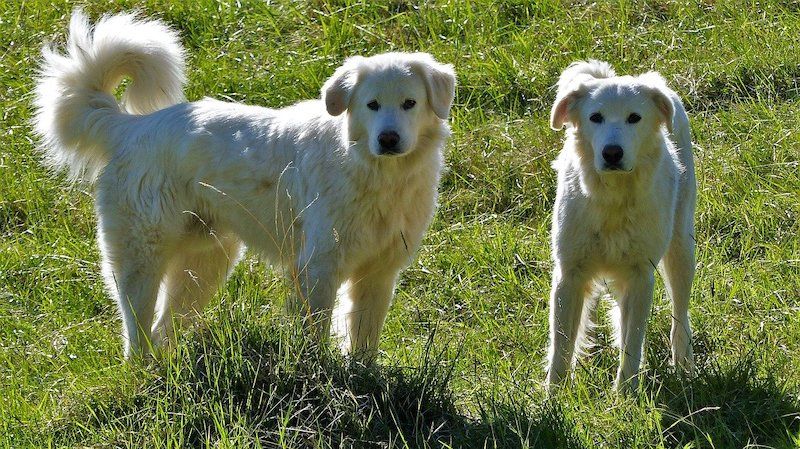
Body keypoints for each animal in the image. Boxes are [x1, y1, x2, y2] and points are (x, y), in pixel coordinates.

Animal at [32, 11, 456, 360]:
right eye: (372, 105)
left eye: (409, 103)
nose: (388, 139)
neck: (377, 175)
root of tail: (130, 126)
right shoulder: (318, 266)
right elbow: (315, 334)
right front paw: (319, 376)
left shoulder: (379, 271)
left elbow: (363, 338)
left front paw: (362, 378)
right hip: (142, 256)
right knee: (137, 332)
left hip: (204, 263)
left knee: (163, 330)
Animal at [548, 60, 696, 392]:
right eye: (595, 118)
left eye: (634, 118)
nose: (612, 153)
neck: (613, 199)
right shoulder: (569, 274)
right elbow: (561, 345)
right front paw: (554, 397)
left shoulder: (641, 276)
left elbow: (633, 341)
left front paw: (625, 393)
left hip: (682, 251)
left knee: (680, 315)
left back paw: (685, 365)